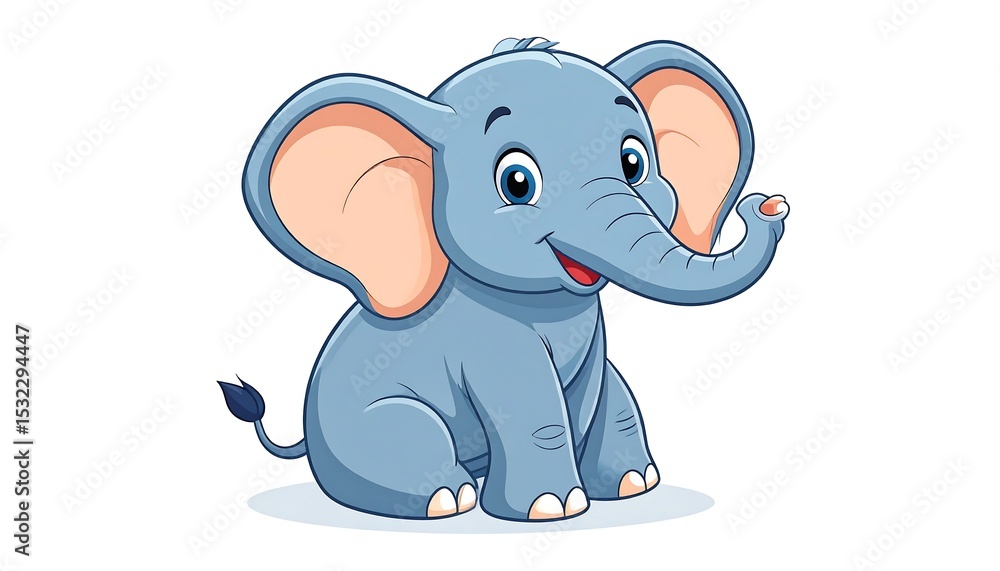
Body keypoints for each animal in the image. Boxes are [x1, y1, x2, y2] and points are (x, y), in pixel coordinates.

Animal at [219, 37, 789, 522]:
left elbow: (596, 386)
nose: (767, 205)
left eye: (634, 162)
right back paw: (447, 499)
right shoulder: (489, 340)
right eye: (517, 182)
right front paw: (552, 509)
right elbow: (532, 400)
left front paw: (623, 488)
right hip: (365, 427)